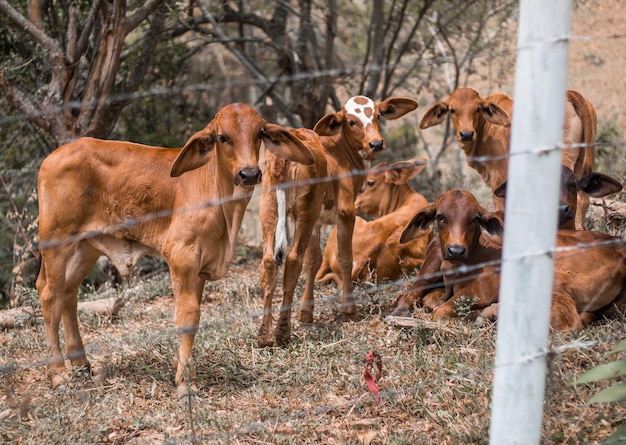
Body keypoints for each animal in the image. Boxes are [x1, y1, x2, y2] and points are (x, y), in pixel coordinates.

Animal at [36, 103, 314, 396]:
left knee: (68, 293)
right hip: (56, 242)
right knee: (49, 295)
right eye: (222, 137)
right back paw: (58, 375)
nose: (249, 173)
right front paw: (184, 383)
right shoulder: (183, 258)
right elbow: (187, 316)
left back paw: (81, 363)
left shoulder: (201, 269)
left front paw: (182, 367)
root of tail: (52, 157)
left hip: (85, 247)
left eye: (259, 133)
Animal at [256, 95, 416, 346]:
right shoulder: (345, 213)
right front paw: (349, 310)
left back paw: (265, 335)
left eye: (378, 116)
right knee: (293, 259)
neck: (339, 152)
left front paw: (306, 313)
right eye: (351, 121)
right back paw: (282, 332)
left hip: (270, 209)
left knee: (269, 262)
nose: (376, 143)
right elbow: (345, 258)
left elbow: (313, 261)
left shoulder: (317, 222)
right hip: (306, 211)